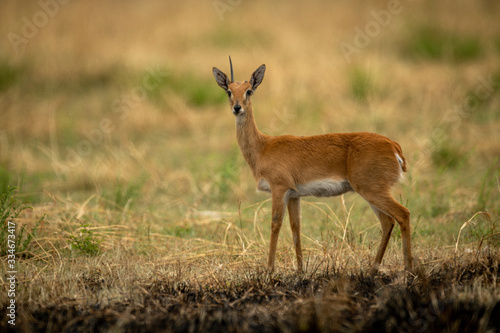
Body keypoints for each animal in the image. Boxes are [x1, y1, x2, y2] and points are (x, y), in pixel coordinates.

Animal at [213, 57, 412, 272]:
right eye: (229, 91)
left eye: (249, 90)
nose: (237, 108)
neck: (263, 147)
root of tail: (393, 145)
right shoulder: (294, 195)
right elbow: (296, 228)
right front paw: (300, 271)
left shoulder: (279, 188)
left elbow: (275, 224)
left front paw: (269, 271)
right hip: (372, 193)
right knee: (387, 223)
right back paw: (373, 270)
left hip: (372, 190)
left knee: (403, 214)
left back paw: (408, 269)